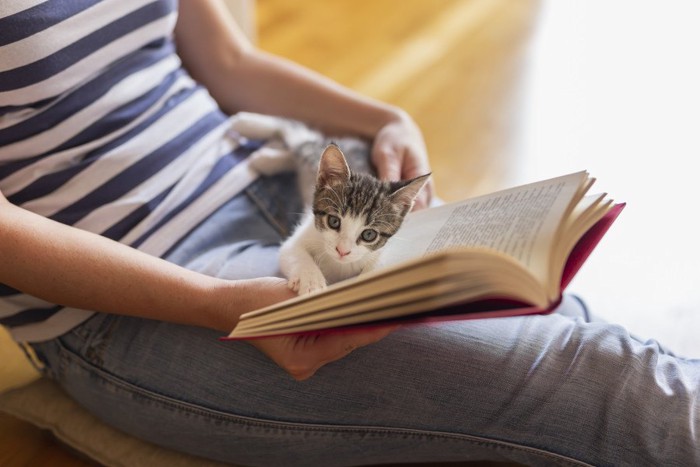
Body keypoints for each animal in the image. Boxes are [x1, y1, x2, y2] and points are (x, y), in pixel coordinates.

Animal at [282, 144, 430, 294]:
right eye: (333, 221)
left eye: (369, 234)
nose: (342, 251)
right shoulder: (302, 235)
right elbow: (293, 251)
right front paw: (312, 284)